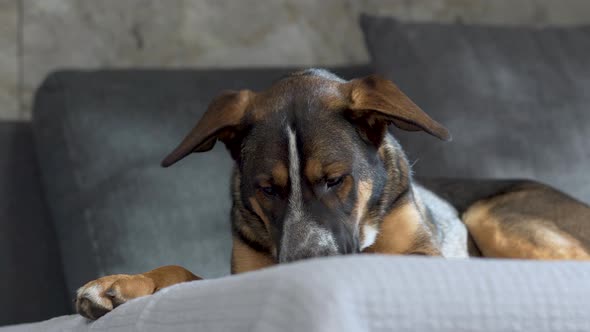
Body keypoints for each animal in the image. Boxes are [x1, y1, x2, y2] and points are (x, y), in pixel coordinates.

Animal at [76, 68, 590, 320]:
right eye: (267, 189)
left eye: (335, 179)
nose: (304, 265)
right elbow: (181, 273)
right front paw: (119, 285)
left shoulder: (423, 258)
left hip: (491, 214)